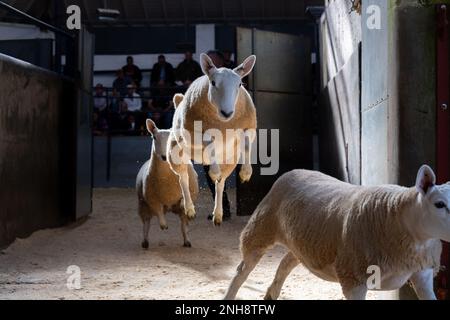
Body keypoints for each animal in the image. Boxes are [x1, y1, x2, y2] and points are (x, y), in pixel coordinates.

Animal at [136, 114, 198, 249]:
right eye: (154, 137)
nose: (165, 157)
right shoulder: (151, 198)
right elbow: (159, 211)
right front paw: (164, 225)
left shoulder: (190, 193)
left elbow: (184, 202)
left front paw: (187, 208)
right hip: (143, 205)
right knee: (146, 224)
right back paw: (145, 242)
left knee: (184, 225)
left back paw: (187, 241)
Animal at [166, 53, 256, 225]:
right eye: (213, 83)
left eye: (240, 84)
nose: (227, 113)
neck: (222, 124)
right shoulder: (195, 135)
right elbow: (209, 142)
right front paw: (214, 171)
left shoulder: (248, 128)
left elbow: (247, 145)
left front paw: (246, 173)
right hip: (176, 153)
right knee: (183, 178)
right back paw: (189, 209)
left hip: (229, 160)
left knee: (220, 184)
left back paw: (218, 214)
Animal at [223, 165, 448, 300]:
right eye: (439, 204)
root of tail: (294, 171)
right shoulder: (354, 278)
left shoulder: (422, 272)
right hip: (260, 229)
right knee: (242, 271)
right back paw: (230, 295)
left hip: (305, 242)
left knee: (286, 261)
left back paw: (272, 293)